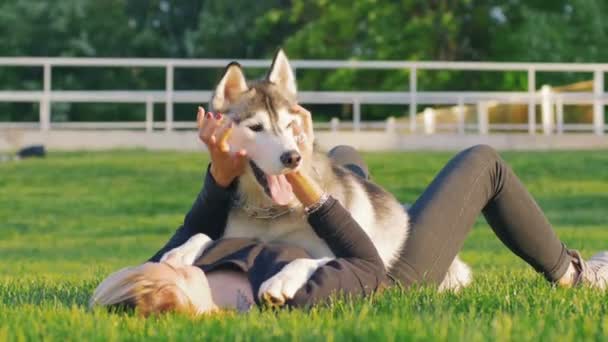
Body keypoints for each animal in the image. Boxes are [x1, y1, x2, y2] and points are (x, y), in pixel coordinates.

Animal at [164, 48, 472, 304]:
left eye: (289, 125)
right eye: (256, 127)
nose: (292, 158)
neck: (270, 212)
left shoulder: (345, 257)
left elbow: (308, 260)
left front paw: (280, 281)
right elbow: (203, 234)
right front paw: (180, 251)